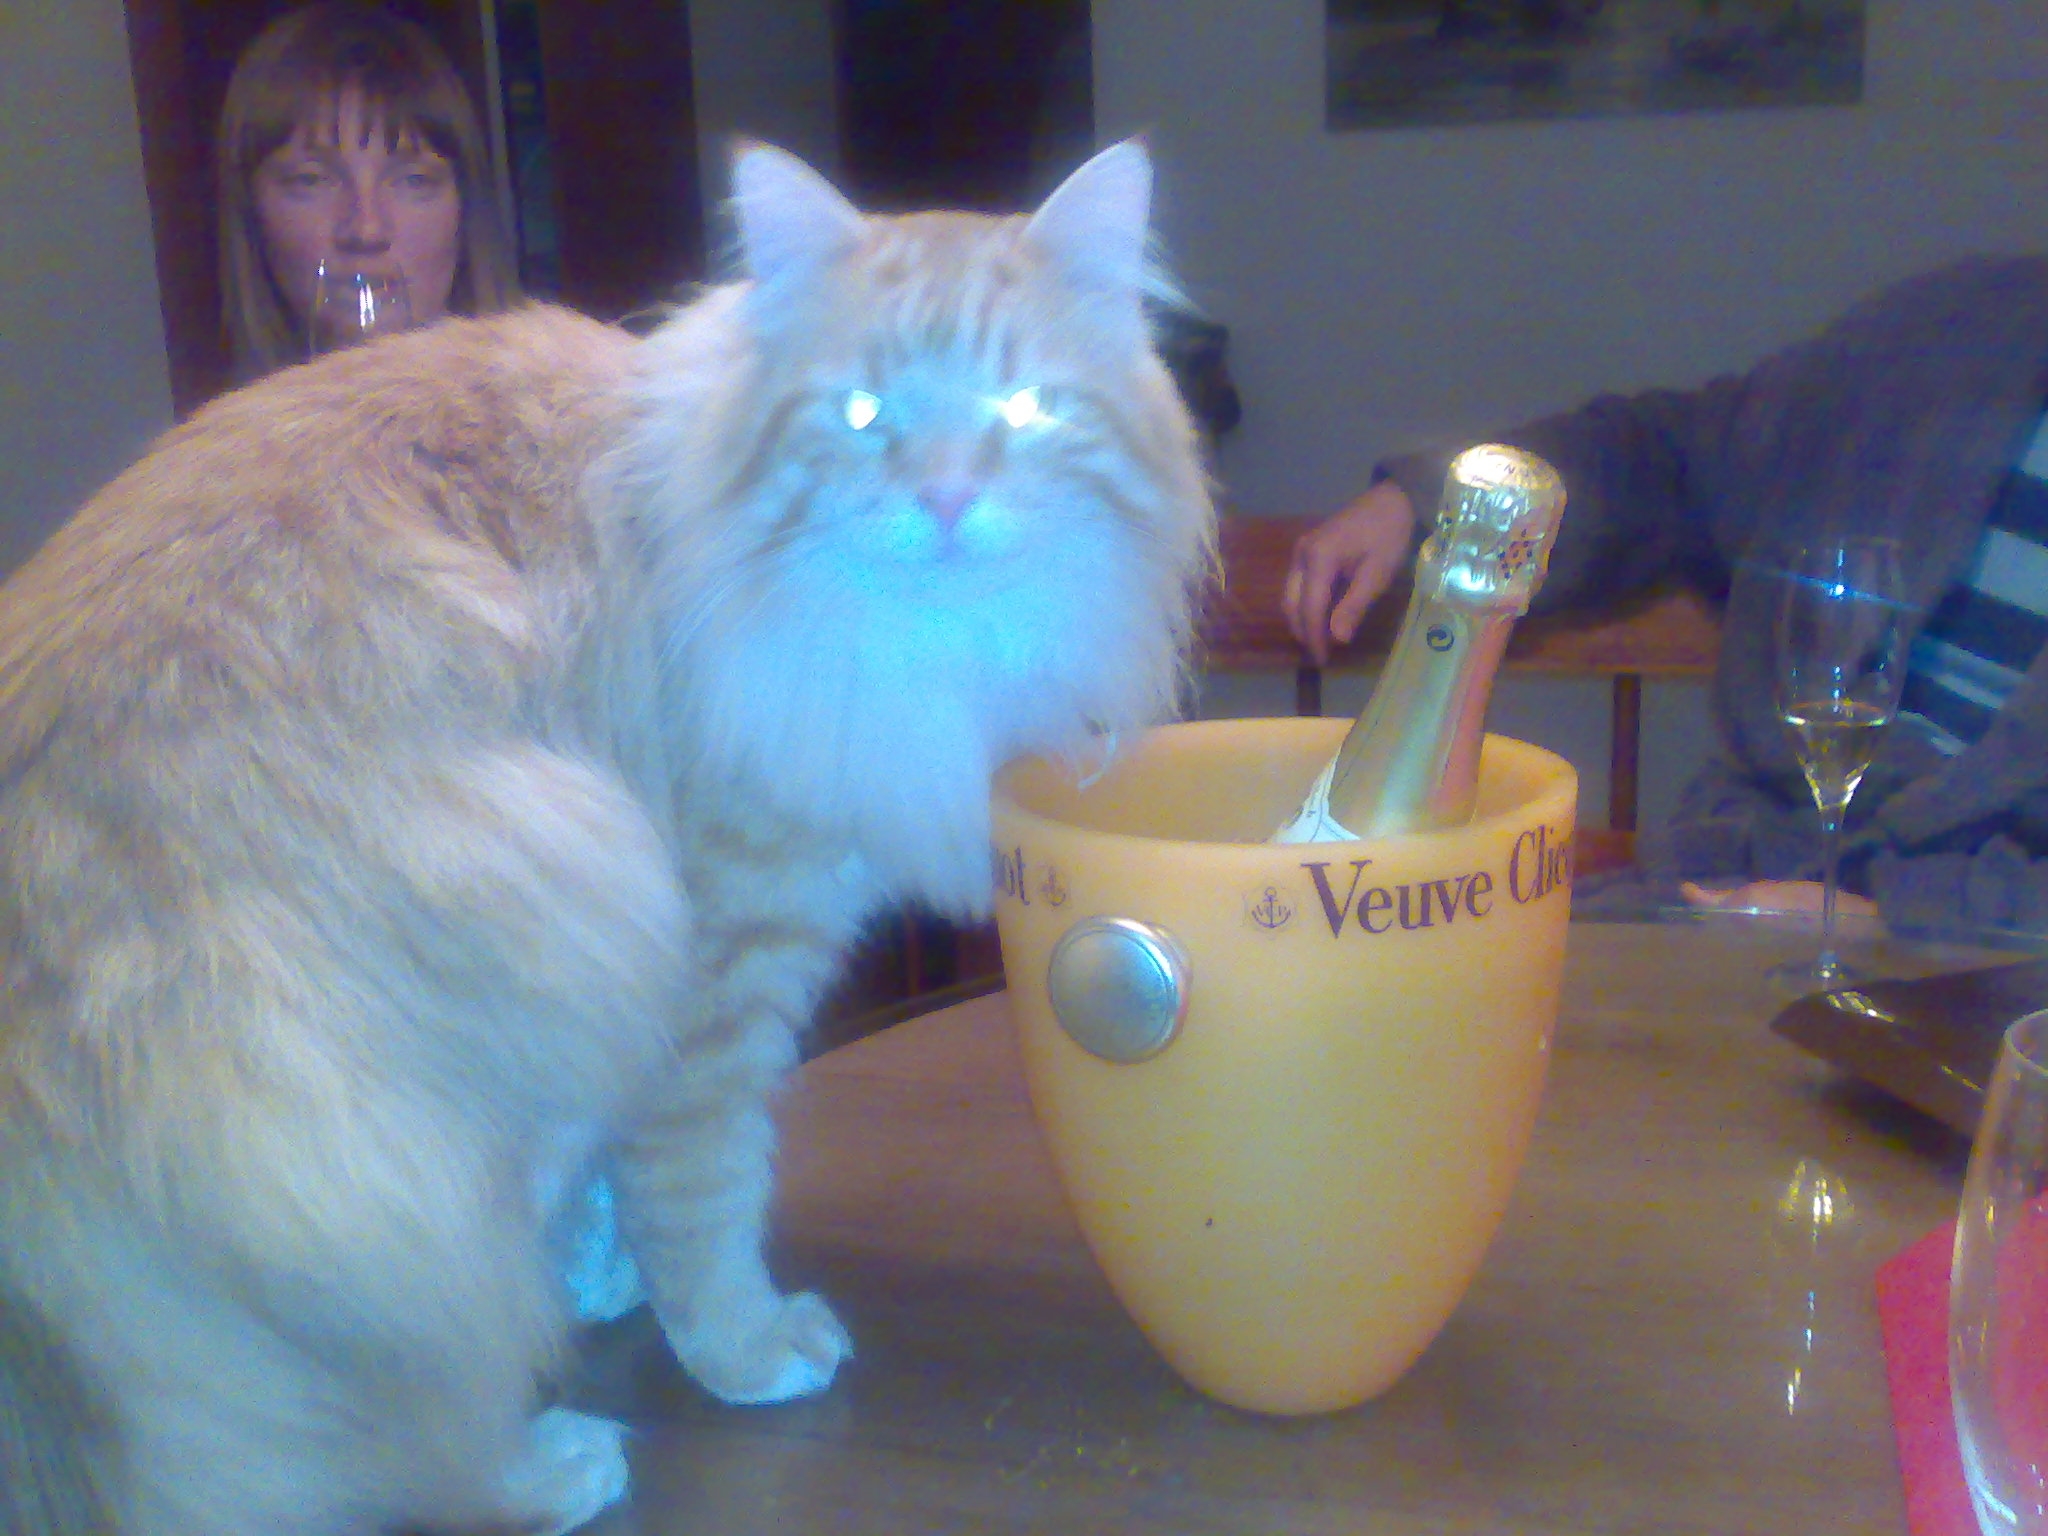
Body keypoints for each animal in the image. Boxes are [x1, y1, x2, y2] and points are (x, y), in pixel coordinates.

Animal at [0, 139, 1214, 1534]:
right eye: (861, 416)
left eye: (1024, 408)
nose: (950, 497)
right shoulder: (724, 964)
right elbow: (702, 1188)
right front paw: (741, 1344)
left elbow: (613, 1182)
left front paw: (604, 1275)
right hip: (527, 949)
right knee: (401, 1399)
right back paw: (543, 1464)